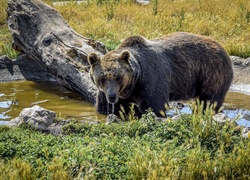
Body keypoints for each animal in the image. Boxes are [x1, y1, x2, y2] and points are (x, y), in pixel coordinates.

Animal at [87, 32, 233, 116]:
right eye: (102, 78)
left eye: (118, 77)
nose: (112, 96)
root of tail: (223, 48)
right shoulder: (114, 92)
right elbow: (105, 106)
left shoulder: (152, 79)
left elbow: (155, 105)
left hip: (212, 73)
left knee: (210, 100)